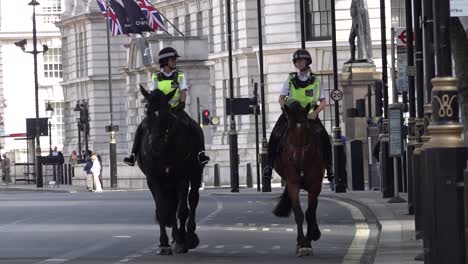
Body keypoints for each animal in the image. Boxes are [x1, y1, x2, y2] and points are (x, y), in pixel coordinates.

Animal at [134, 85, 202, 255]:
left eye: (166, 113)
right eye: (147, 110)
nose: (155, 145)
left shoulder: (182, 177)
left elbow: (183, 210)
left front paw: (182, 241)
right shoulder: (153, 179)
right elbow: (162, 210)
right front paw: (164, 243)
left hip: (195, 173)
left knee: (192, 199)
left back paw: (189, 236)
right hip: (167, 182)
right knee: (171, 207)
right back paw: (176, 237)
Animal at [274, 101, 326, 256]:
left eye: (306, 126)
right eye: (289, 128)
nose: (297, 158)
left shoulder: (316, 184)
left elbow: (310, 212)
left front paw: (310, 238)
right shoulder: (293, 183)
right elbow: (299, 213)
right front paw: (302, 243)